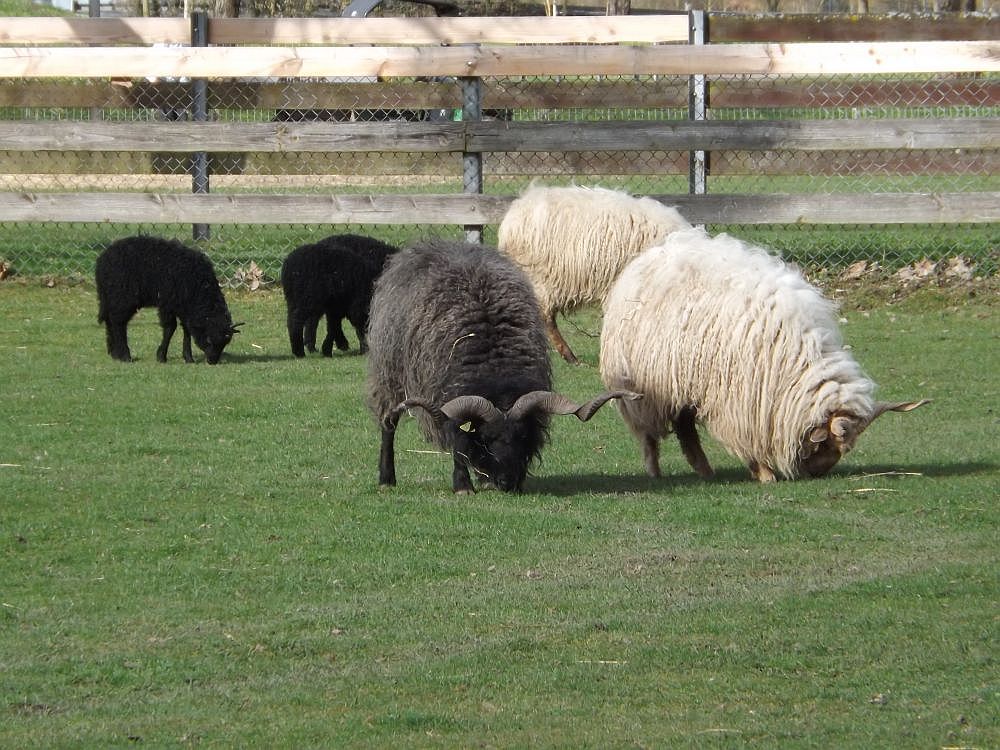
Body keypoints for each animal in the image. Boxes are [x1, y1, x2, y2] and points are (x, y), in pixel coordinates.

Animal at [95, 235, 240, 364]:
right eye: (209, 340)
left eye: (225, 344)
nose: (212, 361)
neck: (199, 287)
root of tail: (102, 260)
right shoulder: (167, 303)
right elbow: (170, 328)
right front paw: (161, 357)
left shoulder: (184, 307)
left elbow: (187, 329)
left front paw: (188, 358)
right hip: (123, 297)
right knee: (118, 323)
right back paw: (125, 356)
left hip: (111, 297)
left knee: (110, 320)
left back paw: (114, 353)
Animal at [365, 239, 639, 493]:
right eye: (486, 438)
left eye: (522, 436)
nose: (507, 483)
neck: (495, 369)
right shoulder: (447, 399)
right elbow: (459, 443)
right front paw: (463, 485)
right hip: (389, 376)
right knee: (388, 425)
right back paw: (386, 479)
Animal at [599, 228, 928, 482]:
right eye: (829, 443)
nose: (816, 473)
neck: (798, 359)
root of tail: (652, 254)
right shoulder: (742, 400)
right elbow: (747, 436)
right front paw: (764, 472)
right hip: (646, 388)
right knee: (650, 435)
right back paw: (656, 471)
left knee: (685, 428)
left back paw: (705, 471)